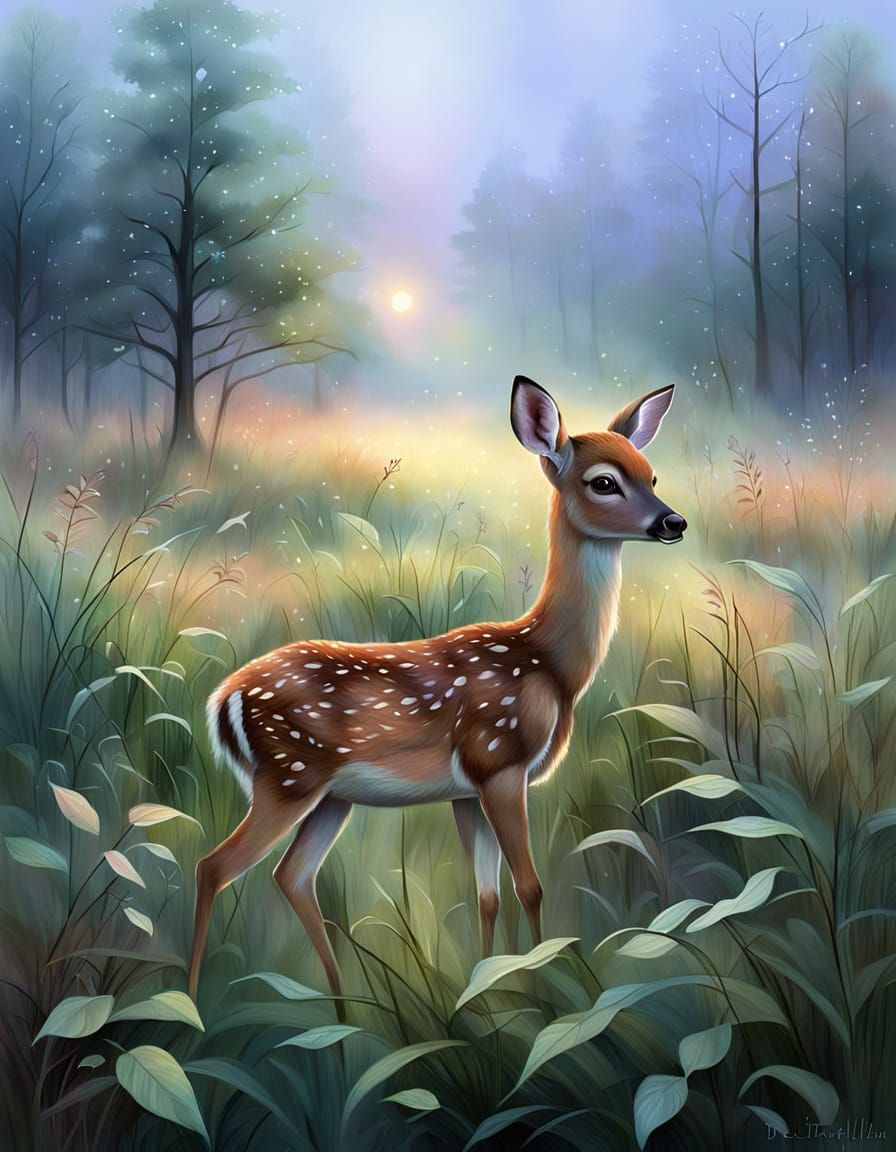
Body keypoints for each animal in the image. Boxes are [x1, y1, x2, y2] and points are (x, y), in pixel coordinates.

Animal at [188, 376, 686, 999]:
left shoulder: (466, 790)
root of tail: (221, 699)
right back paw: (190, 1000)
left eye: (652, 475)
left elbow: (488, 895)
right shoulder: (499, 759)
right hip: (288, 775)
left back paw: (342, 999)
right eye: (604, 482)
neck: (550, 663)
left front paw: (489, 989)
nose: (673, 522)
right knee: (214, 867)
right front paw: (543, 985)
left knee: (291, 875)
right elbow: (530, 887)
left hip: (329, 794)